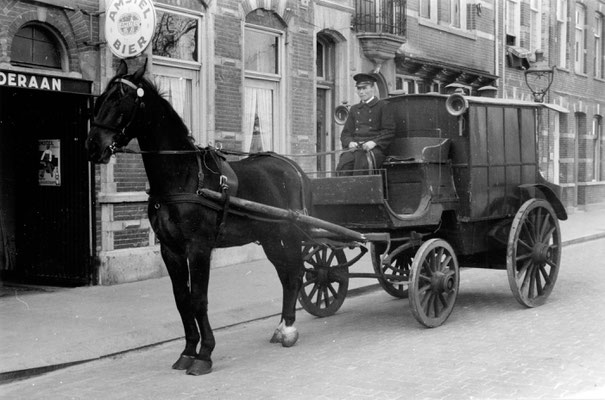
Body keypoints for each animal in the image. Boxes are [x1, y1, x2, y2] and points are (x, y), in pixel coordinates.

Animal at [86, 59, 310, 376]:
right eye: (101, 99)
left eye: (121, 100)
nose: (93, 146)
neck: (183, 178)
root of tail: (291, 166)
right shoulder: (171, 250)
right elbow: (182, 300)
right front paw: (187, 351)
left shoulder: (199, 248)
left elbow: (199, 299)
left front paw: (205, 354)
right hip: (268, 237)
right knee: (286, 274)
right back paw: (281, 327)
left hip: (287, 233)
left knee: (295, 273)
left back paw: (289, 329)